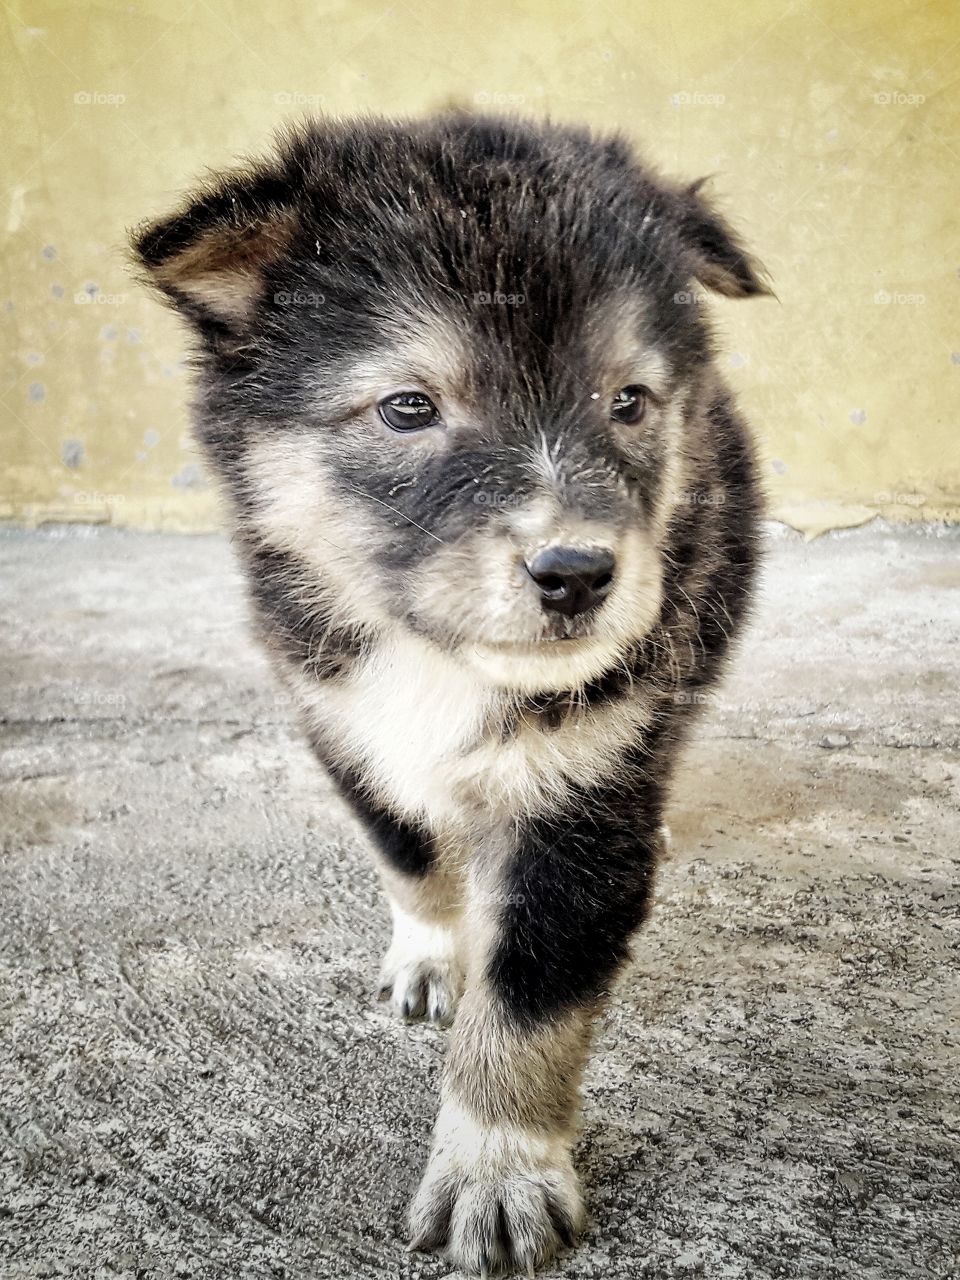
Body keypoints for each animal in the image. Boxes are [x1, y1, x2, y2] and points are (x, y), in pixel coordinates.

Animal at [133, 115, 768, 1274]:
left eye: (629, 401)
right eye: (408, 407)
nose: (578, 573)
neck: (439, 661)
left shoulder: (580, 801)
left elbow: (527, 1006)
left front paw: (497, 1176)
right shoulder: (340, 720)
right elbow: (411, 850)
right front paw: (433, 958)